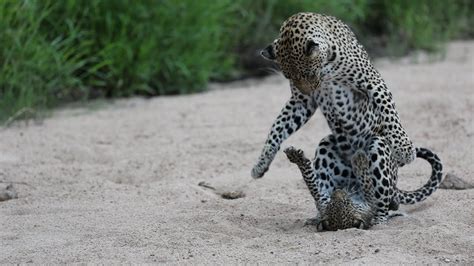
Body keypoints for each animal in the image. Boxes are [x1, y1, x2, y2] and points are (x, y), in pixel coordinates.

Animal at [252, 11, 444, 224]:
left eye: (308, 73)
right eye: (289, 76)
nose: (308, 91)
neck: (327, 67)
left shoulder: (373, 82)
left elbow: (389, 112)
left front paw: (405, 150)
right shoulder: (301, 103)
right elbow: (278, 127)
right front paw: (261, 164)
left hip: (378, 147)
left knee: (383, 202)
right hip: (327, 147)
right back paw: (320, 216)